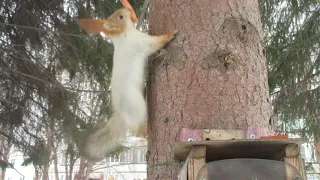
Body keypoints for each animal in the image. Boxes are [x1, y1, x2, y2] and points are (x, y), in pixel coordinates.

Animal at [76, 0, 179, 160]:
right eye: (121, 17)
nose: (128, 9)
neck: (123, 35)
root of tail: (121, 114)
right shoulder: (140, 42)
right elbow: (156, 43)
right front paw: (170, 34)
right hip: (137, 107)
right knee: (137, 130)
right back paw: (146, 133)